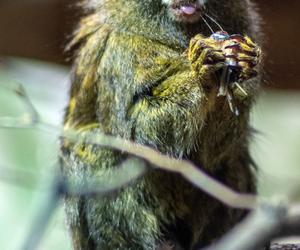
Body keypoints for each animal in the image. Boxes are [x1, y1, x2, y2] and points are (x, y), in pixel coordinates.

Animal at [60, 0, 260, 249]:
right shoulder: (120, 52)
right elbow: (136, 133)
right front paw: (201, 71)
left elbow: (213, 155)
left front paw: (238, 59)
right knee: (97, 149)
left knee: (235, 161)